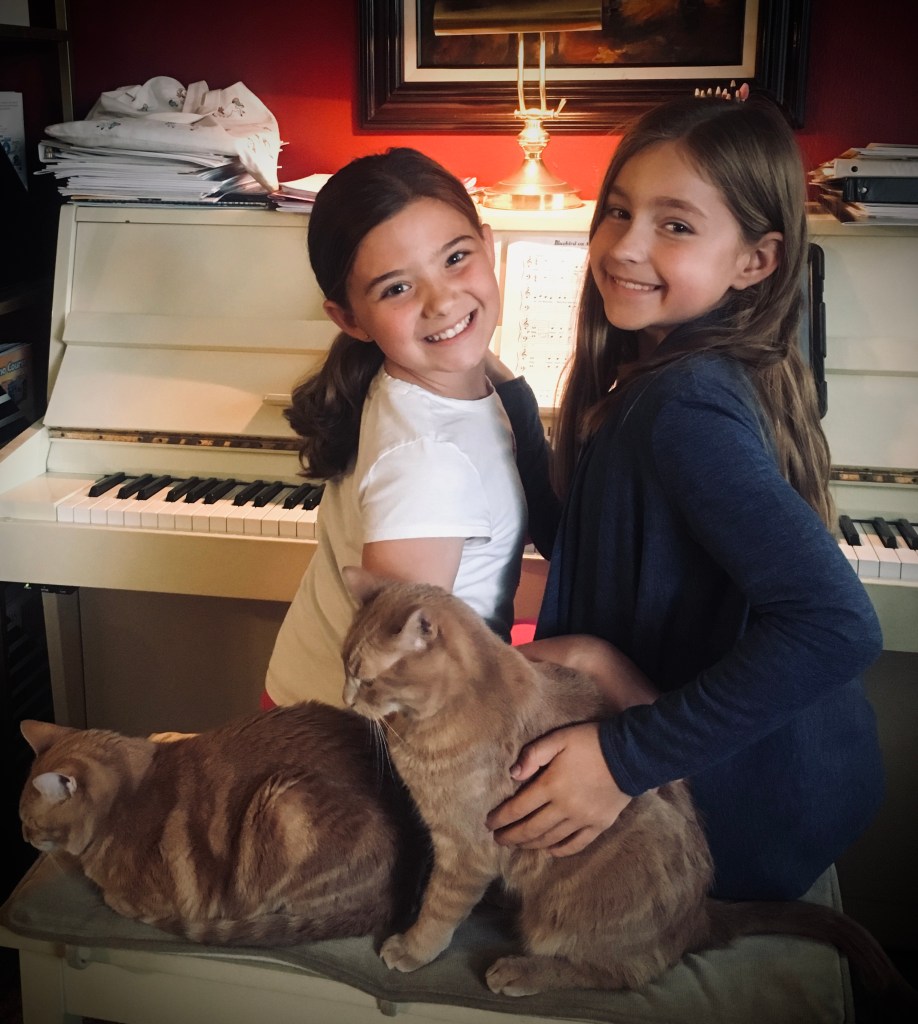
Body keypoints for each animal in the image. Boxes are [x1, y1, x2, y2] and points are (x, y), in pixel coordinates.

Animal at [339, 567, 917, 1007]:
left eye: (363, 677)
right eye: (346, 669)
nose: (346, 699)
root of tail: (699, 914)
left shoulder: (466, 849)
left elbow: (438, 908)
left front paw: (413, 947)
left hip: (569, 917)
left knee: (624, 971)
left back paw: (521, 970)